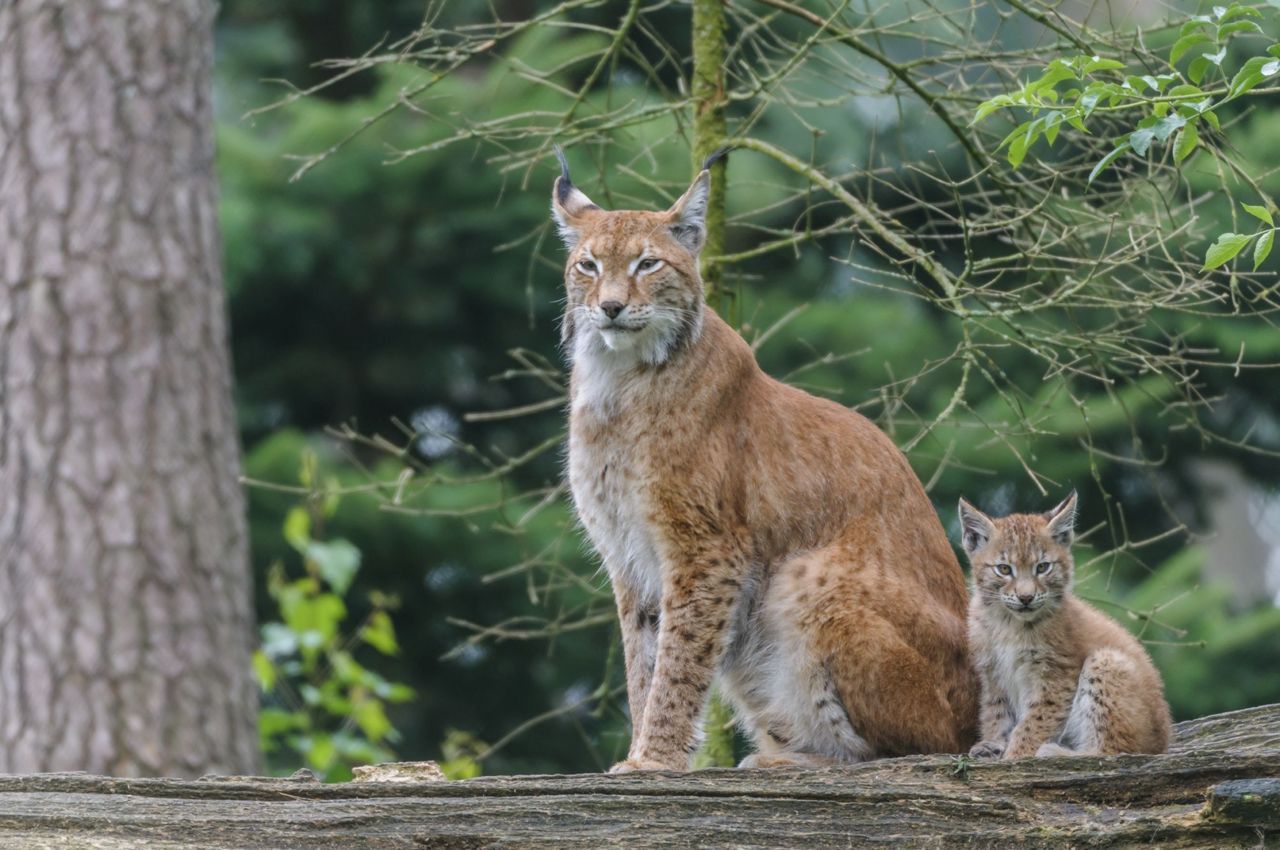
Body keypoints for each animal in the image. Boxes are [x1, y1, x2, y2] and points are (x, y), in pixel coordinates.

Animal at [962, 494, 1172, 757]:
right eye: (1004, 569)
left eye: (1043, 567)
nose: (1026, 598)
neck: (1007, 621)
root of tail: (1164, 740)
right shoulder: (992, 672)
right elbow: (996, 712)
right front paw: (993, 742)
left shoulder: (1056, 676)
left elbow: (1033, 722)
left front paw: (1015, 755)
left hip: (1106, 660)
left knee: (1115, 750)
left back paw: (1055, 751)